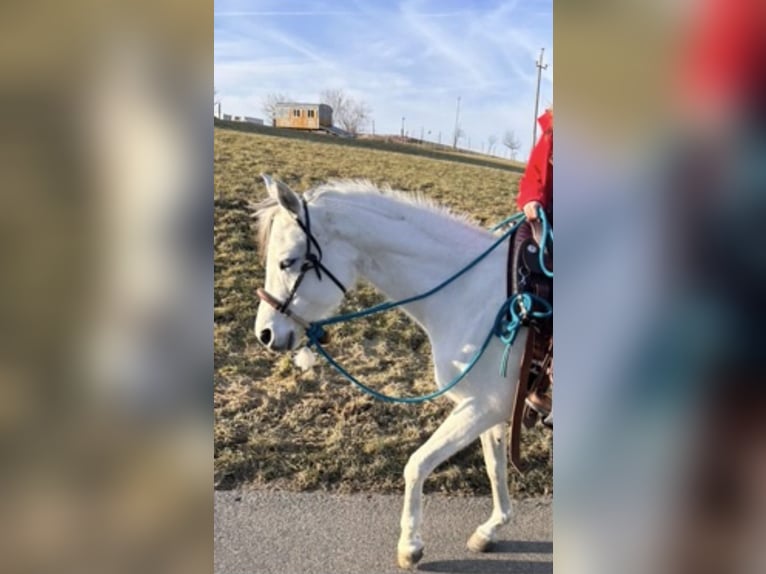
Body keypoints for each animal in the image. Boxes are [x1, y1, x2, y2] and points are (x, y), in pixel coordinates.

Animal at [253, 175, 531, 569]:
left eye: (287, 262)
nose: (264, 334)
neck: (470, 296)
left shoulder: (484, 405)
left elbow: (417, 464)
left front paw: (410, 546)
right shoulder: (488, 408)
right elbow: (495, 466)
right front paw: (492, 528)